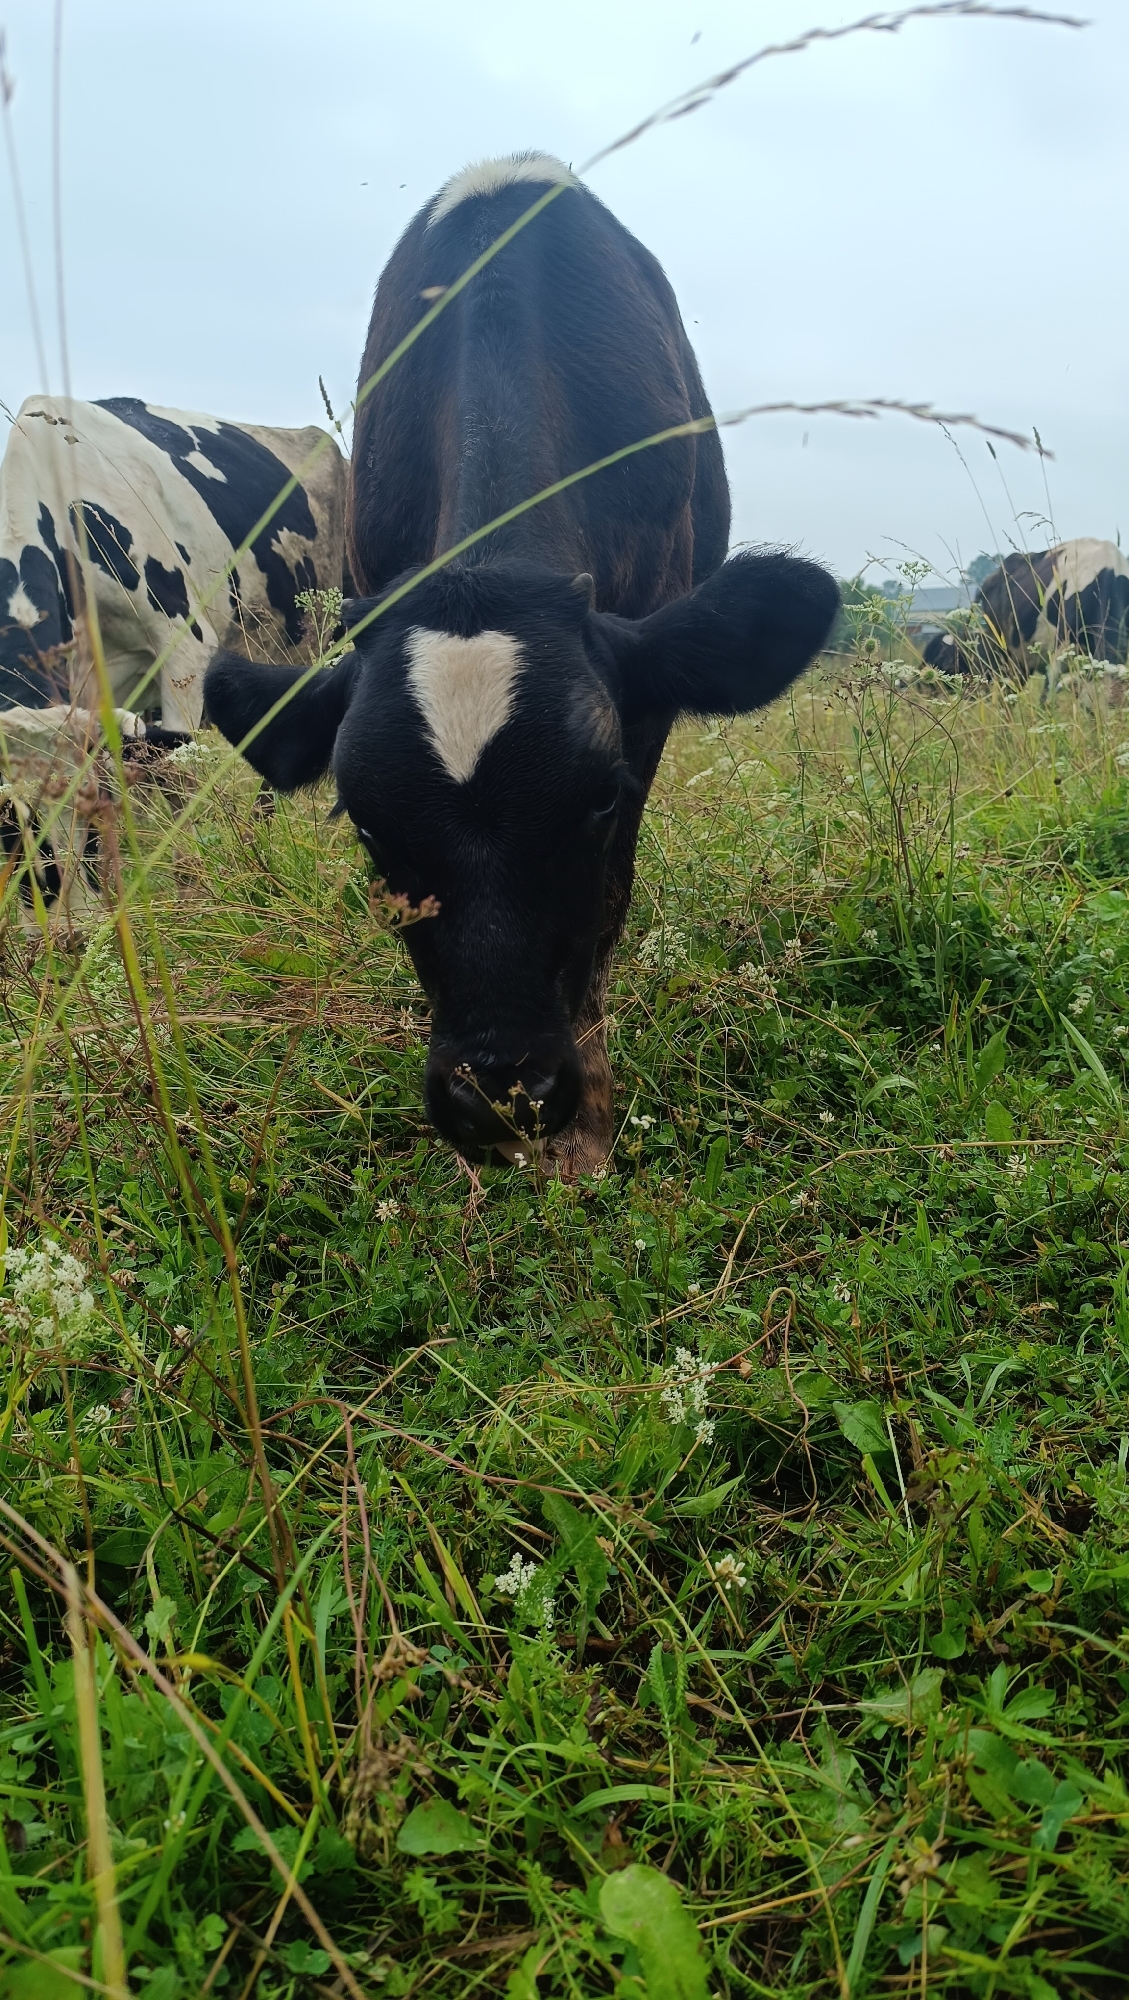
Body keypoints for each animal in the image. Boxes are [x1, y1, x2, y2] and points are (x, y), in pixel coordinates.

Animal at [205, 153, 839, 1176]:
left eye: (599, 799)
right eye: (366, 825)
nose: (501, 1096)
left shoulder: (645, 703)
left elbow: (610, 902)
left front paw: (587, 1129)